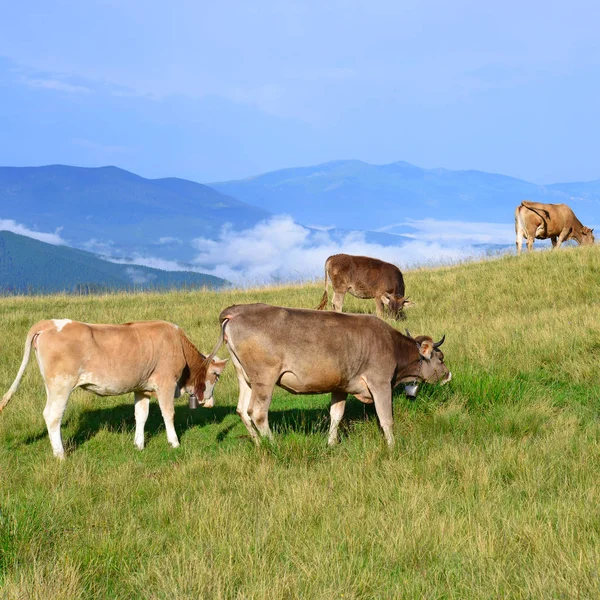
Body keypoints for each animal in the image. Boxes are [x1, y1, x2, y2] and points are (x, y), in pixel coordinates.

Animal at [0, 322, 227, 458]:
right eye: (216, 375)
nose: (211, 402)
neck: (177, 343)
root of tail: (49, 323)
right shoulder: (166, 384)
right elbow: (168, 413)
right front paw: (174, 442)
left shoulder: (141, 388)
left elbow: (141, 415)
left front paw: (139, 444)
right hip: (61, 386)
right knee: (52, 416)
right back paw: (60, 454)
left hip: (52, 387)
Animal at [211, 304, 450, 446]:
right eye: (440, 357)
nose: (448, 375)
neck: (392, 345)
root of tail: (237, 310)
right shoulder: (380, 382)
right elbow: (386, 418)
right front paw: (392, 446)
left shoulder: (341, 385)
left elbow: (336, 415)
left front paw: (331, 444)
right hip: (264, 377)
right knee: (257, 412)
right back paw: (273, 444)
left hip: (244, 376)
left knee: (242, 410)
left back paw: (258, 443)